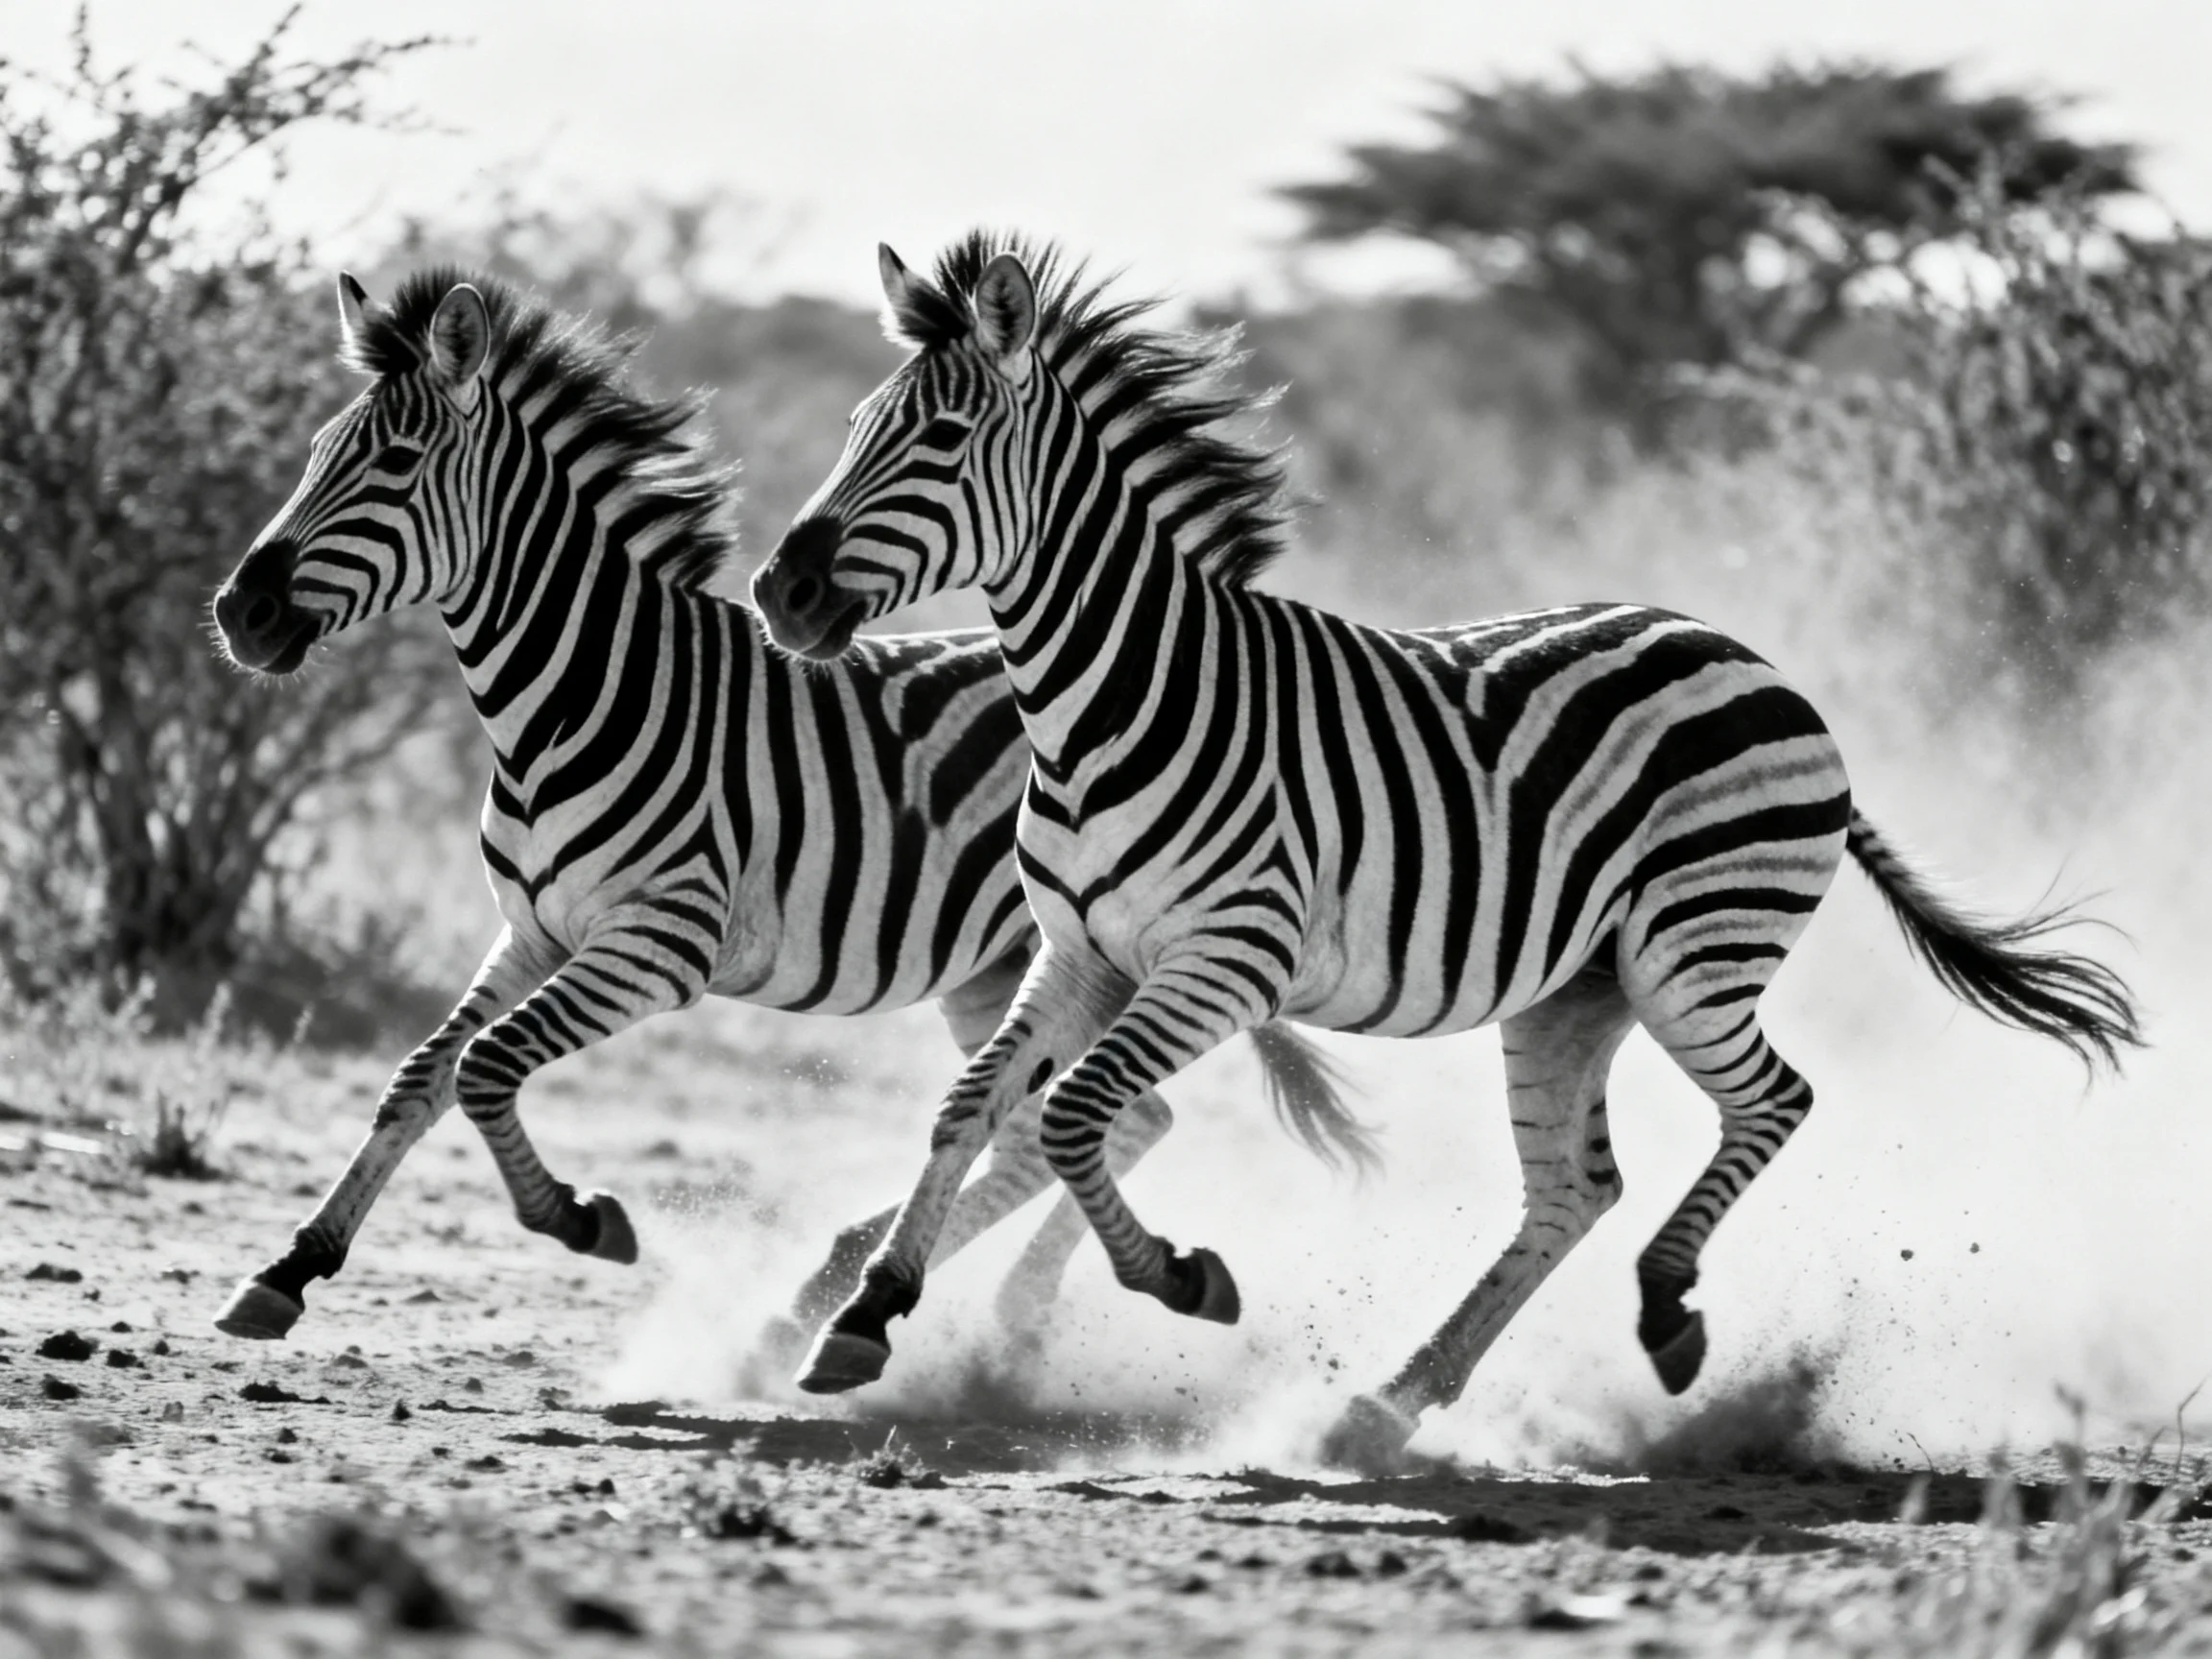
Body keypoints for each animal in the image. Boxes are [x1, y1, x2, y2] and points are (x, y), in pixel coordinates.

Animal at [206, 266, 1366, 1350]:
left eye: (393, 464)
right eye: (317, 452)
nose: (239, 612)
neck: (578, 697)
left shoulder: (656, 943)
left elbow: (486, 1068)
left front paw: (584, 1220)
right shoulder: (532, 931)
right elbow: (420, 1077)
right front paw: (289, 1268)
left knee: (1095, 1117)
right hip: (1010, 965)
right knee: (1096, 1118)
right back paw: (898, 1289)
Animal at [729, 232, 2142, 1468]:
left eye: (939, 441)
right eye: (854, 430)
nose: (779, 594)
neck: (1109, 705)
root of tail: (1757, 662)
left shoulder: (1226, 961)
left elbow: (1075, 1117)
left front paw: (1185, 1280)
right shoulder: (1078, 953)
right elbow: (970, 1106)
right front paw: (864, 1316)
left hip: (1694, 954)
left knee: (1773, 1101)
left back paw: (1668, 1314)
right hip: (1577, 993)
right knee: (1574, 1189)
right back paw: (1390, 1403)